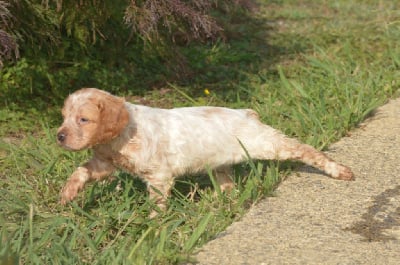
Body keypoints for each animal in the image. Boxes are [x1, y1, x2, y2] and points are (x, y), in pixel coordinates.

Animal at [57, 87, 354, 209]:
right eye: (64, 116)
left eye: (83, 119)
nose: (59, 136)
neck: (120, 136)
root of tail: (247, 114)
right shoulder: (105, 163)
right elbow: (81, 171)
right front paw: (67, 194)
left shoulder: (158, 177)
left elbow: (157, 204)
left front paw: (153, 225)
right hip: (223, 164)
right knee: (228, 186)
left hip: (267, 143)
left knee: (303, 149)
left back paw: (338, 170)